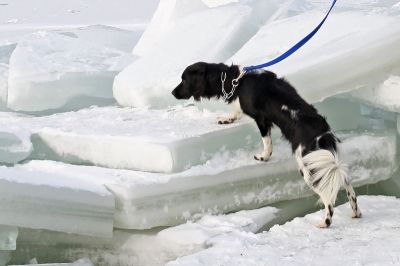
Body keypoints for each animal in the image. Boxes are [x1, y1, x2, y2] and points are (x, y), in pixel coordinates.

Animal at [172, 61, 362, 228]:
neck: (235, 81)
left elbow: (266, 141)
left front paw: (263, 156)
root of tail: (324, 136)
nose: (173, 93)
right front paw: (226, 119)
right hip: (332, 165)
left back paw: (325, 222)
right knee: (350, 189)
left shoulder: (261, 118)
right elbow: (237, 111)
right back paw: (356, 213)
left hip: (309, 168)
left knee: (328, 197)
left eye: (184, 79)